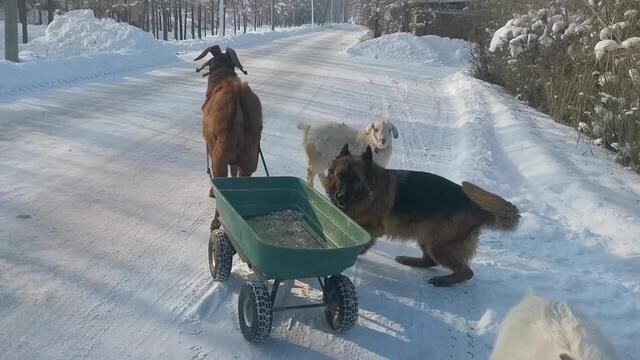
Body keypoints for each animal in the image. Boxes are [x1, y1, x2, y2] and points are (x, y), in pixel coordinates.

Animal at [324, 143, 520, 286]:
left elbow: (362, 239)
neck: (369, 190)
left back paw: (443, 281)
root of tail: (476, 205)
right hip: (428, 237)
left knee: (466, 272)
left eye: (356, 180)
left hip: (439, 245)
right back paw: (409, 260)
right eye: (340, 175)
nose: (340, 197)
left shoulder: (373, 227)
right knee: (430, 261)